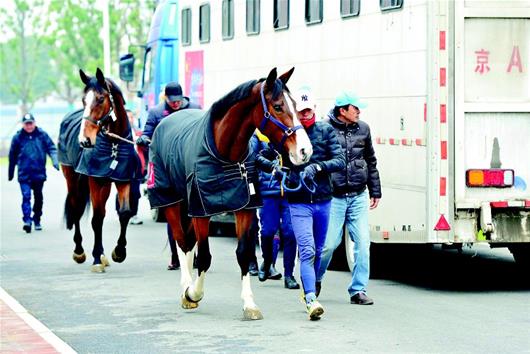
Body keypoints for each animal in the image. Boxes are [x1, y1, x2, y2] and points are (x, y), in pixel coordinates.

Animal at [57, 70, 138, 274]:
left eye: (101, 99)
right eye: (83, 100)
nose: (84, 140)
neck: (114, 142)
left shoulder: (122, 179)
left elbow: (124, 213)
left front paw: (119, 252)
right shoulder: (95, 180)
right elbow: (97, 218)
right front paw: (95, 259)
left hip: (105, 184)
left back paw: (102, 255)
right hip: (71, 177)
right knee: (76, 207)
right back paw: (80, 251)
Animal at [146, 68, 312, 320]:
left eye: (295, 104)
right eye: (277, 106)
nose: (305, 150)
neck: (224, 153)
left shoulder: (244, 207)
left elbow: (243, 253)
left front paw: (249, 304)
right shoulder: (202, 210)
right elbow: (205, 256)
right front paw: (193, 293)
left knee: (188, 242)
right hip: (171, 200)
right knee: (181, 241)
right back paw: (185, 289)